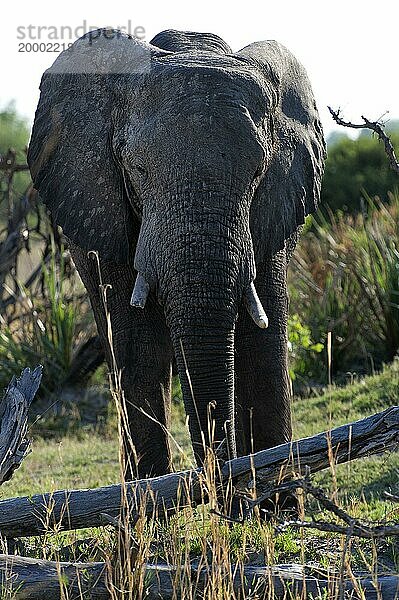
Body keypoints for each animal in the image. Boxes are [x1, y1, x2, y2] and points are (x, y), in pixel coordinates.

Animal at [28, 27, 326, 488]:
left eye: (259, 172)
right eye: (136, 169)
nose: (222, 485)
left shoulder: (276, 206)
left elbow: (264, 338)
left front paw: (278, 499)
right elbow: (137, 345)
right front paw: (150, 507)